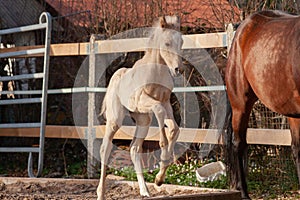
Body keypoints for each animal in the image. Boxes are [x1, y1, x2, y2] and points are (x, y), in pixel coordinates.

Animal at [97, 16, 184, 200]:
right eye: (166, 43)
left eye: (181, 42)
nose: (178, 69)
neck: (156, 71)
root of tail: (116, 76)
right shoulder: (142, 101)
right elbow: (159, 111)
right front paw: (162, 144)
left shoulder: (166, 103)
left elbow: (174, 129)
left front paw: (159, 179)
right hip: (115, 120)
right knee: (105, 149)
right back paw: (100, 193)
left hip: (143, 120)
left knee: (134, 149)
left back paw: (145, 191)